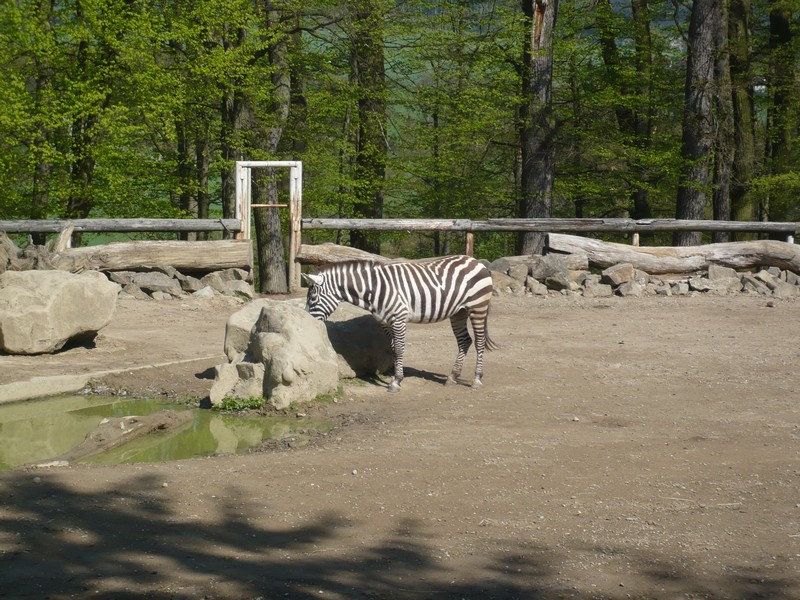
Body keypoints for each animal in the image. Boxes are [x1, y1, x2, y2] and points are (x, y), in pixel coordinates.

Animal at [304, 254, 496, 392]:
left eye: (312, 298)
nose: (308, 321)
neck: (374, 289)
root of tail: (476, 261)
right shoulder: (385, 323)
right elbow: (393, 349)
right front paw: (396, 378)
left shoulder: (399, 320)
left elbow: (399, 348)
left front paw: (396, 381)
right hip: (458, 312)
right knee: (464, 341)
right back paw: (452, 377)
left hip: (478, 307)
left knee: (479, 341)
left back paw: (477, 379)